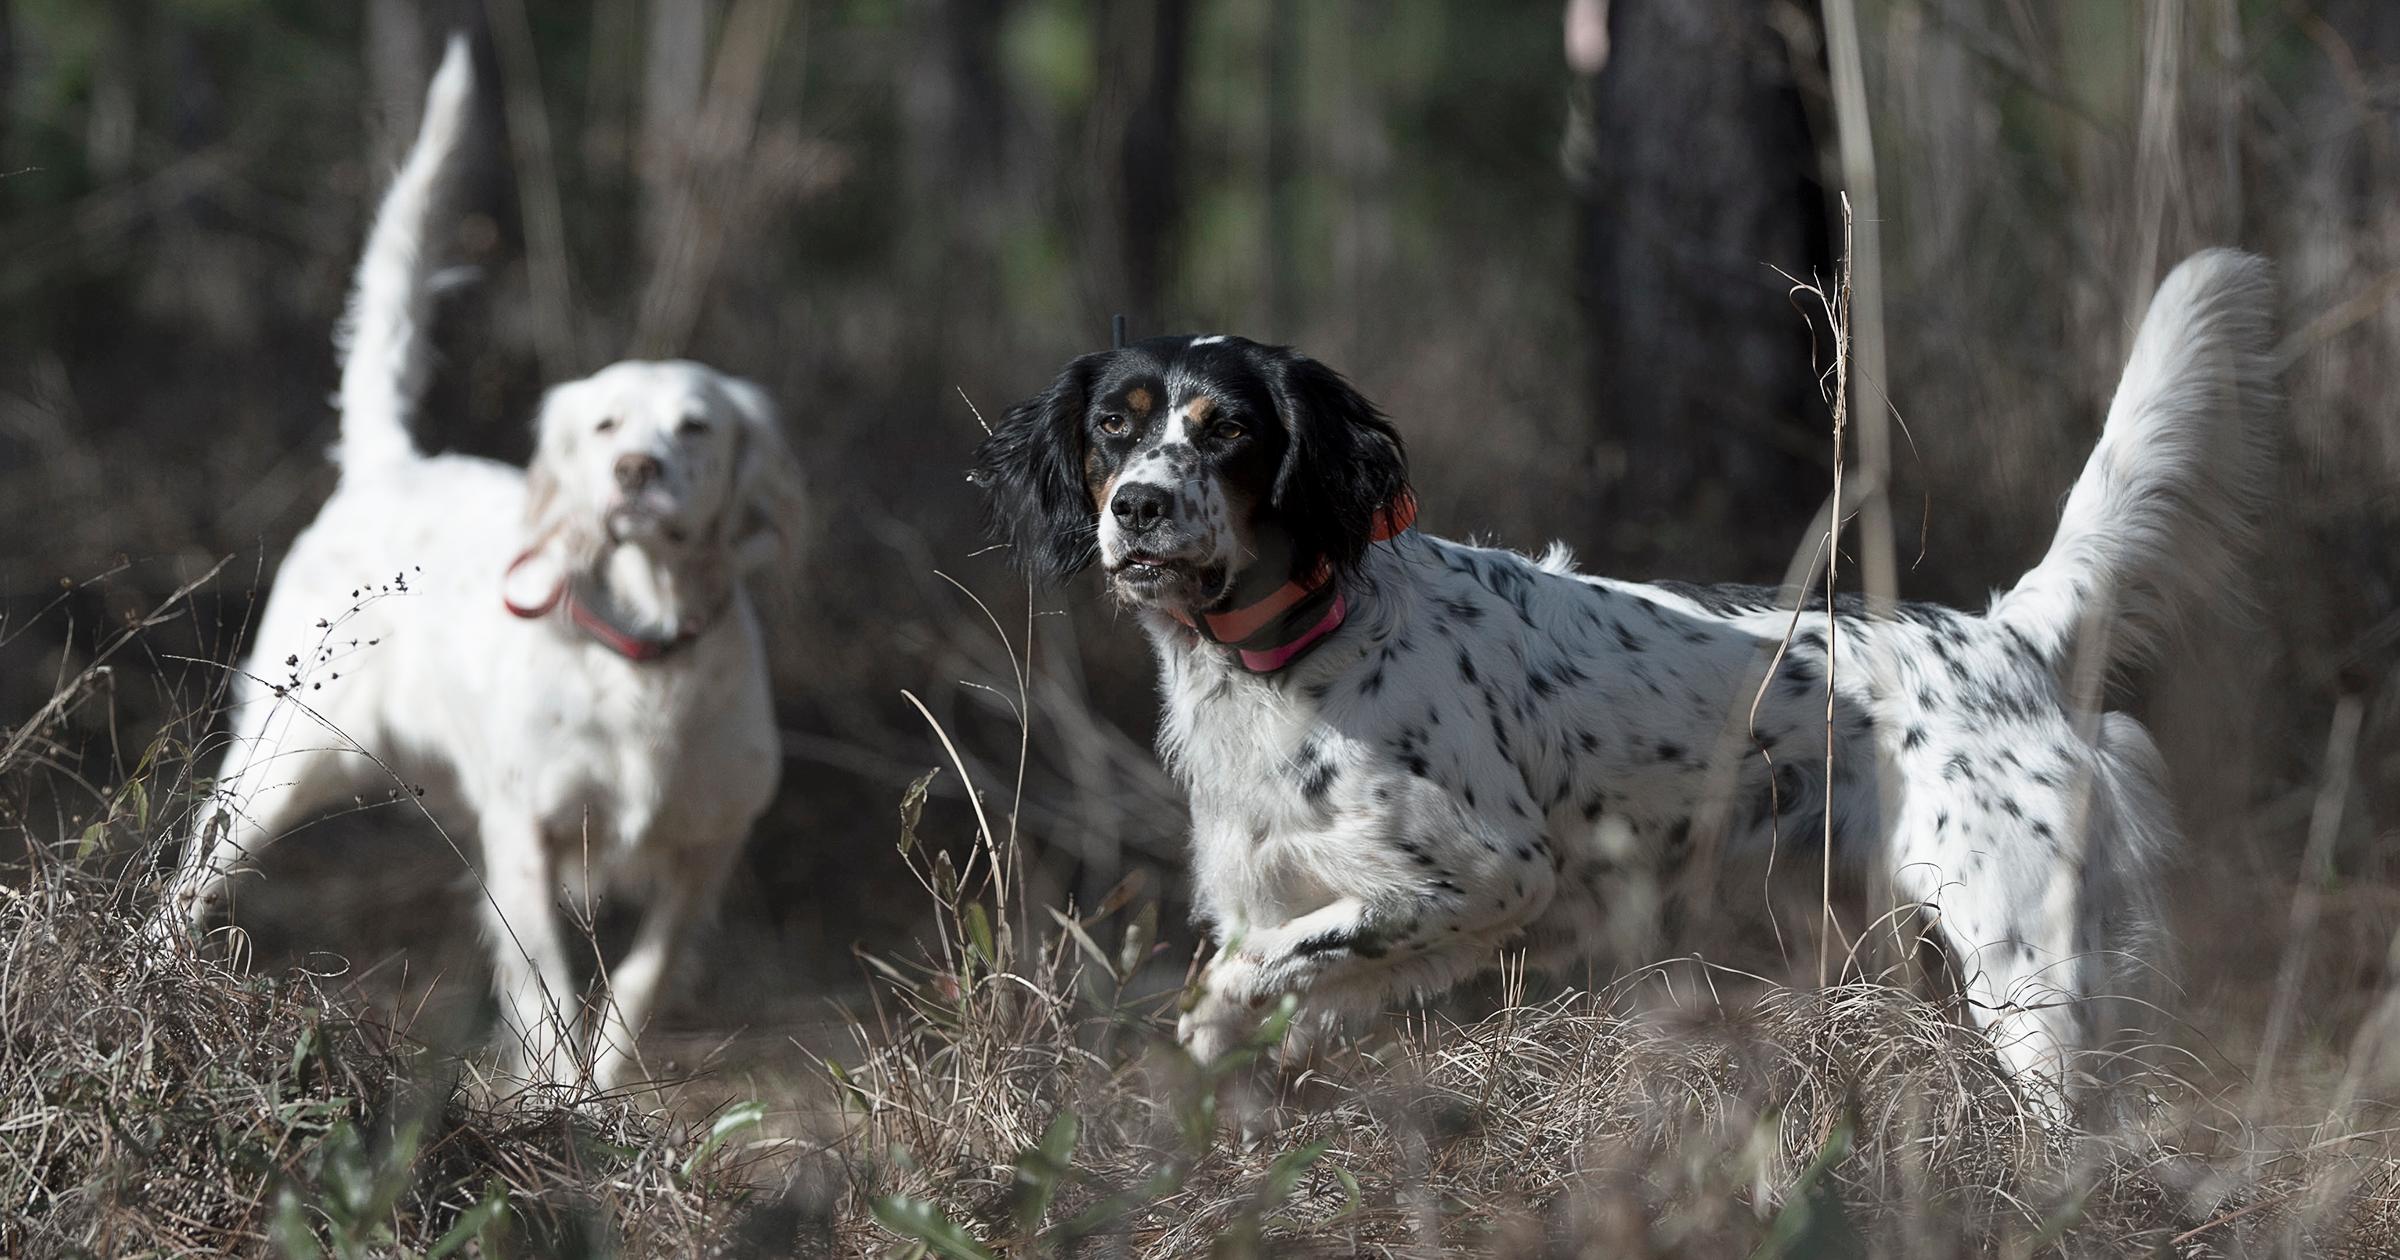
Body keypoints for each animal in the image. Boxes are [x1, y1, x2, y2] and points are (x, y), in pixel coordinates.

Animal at [154, 39, 801, 1089]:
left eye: (696, 425)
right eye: (607, 425)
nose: (636, 471)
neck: (644, 654)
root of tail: (386, 463)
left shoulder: (704, 851)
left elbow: (638, 986)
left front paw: (598, 1097)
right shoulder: (525, 836)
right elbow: (548, 989)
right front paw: (558, 1093)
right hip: (283, 761)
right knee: (187, 879)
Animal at [979, 248, 2284, 1099]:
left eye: (1231, 430)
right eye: (1113, 426)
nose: (1139, 508)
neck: (1301, 643)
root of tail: (2007, 634)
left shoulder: (1492, 874)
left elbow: (1257, 968)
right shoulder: (1292, 883)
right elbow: (1256, 992)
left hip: (2028, 965)